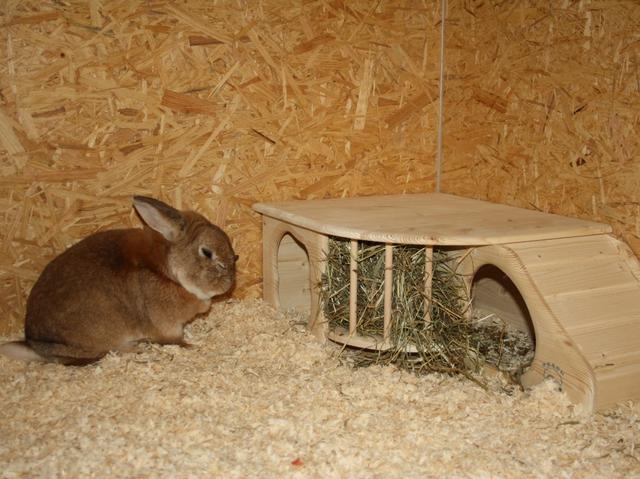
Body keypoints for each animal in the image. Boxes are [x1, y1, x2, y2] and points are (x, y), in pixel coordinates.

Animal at [0, 196, 237, 365]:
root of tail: (35, 345)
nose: (229, 283)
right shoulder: (167, 325)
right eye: (207, 252)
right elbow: (174, 339)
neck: (171, 272)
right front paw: (191, 346)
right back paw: (135, 348)